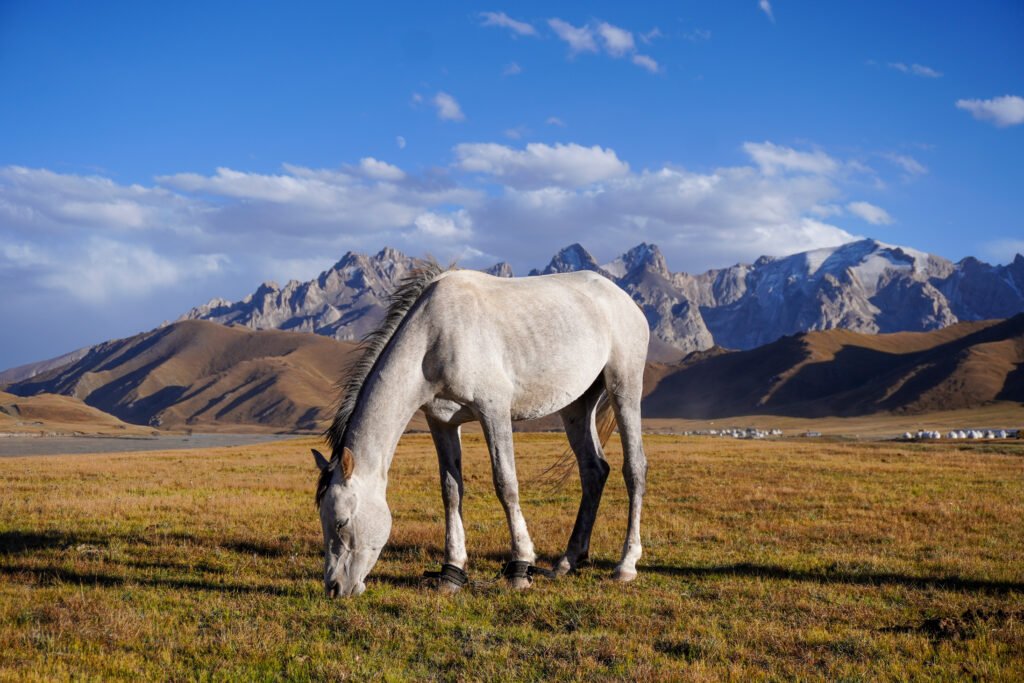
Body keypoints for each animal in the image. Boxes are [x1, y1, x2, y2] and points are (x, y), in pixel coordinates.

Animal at [311, 261, 649, 597]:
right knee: (594, 470)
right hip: (578, 405)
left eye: (341, 522)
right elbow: (451, 491)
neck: (434, 337)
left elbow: (506, 484)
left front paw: (520, 567)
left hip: (624, 386)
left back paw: (626, 564)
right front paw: (452, 572)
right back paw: (568, 561)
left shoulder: (494, 411)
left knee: (634, 468)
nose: (334, 588)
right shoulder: (442, 423)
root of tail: (623, 298)